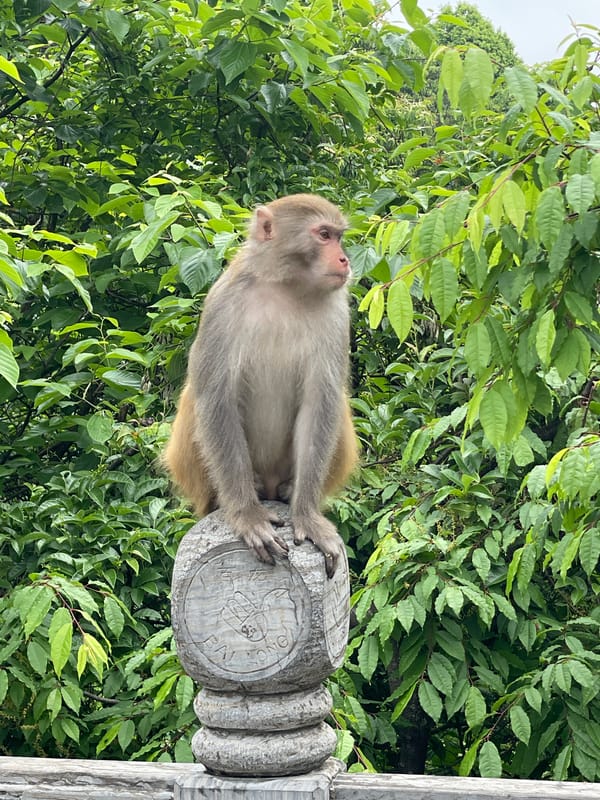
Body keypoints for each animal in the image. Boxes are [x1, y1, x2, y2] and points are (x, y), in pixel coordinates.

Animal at [164, 194, 358, 577]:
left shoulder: (337, 312)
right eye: (324, 235)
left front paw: (306, 515)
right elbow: (217, 398)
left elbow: (321, 403)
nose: (344, 259)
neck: (284, 287)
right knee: (196, 396)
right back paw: (233, 497)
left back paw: (287, 491)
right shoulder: (223, 302)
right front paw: (247, 517)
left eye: (339, 237)